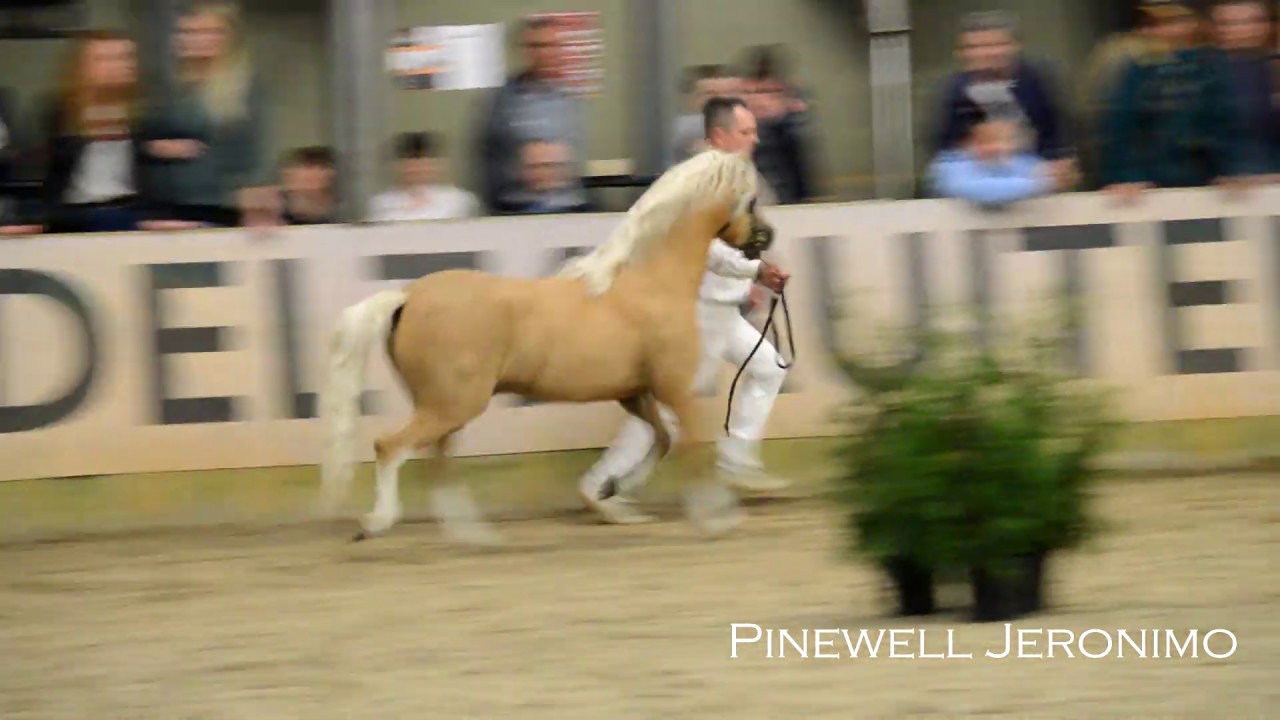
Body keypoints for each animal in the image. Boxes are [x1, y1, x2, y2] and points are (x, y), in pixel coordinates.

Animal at [316, 149, 774, 545]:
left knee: (437, 461)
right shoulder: (674, 389)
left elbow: (662, 441)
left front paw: (611, 494)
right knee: (391, 448)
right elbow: (693, 445)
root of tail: (408, 296)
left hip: (445, 407)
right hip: (452, 405)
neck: (652, 282)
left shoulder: (636, 393)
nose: (767, 237)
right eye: (751, 200)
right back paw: (378, 523)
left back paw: (475, 536)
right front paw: (716, 519)